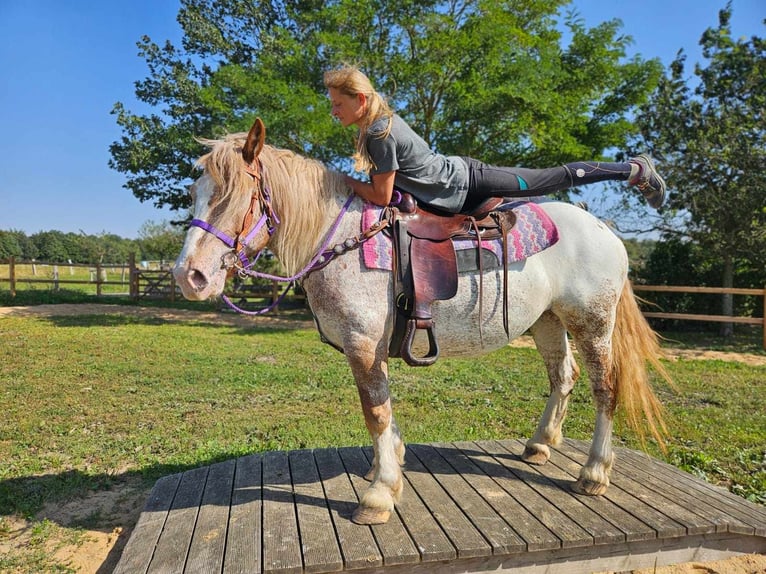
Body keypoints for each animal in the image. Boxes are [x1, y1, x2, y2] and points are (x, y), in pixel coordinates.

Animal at [174, 119, 672, 528]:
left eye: (233, 194)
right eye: (195, 194)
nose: (188, 276)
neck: (340, 238)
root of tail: (604, 229)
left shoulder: (362, 344)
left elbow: (374, 411)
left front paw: (378, 496)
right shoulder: (373, 348)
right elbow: (384, 411)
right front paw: (390, 468)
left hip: (592, 322)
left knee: (605, 387)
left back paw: (594, 472)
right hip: (549, 321)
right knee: (563, 377)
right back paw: (539, 444)